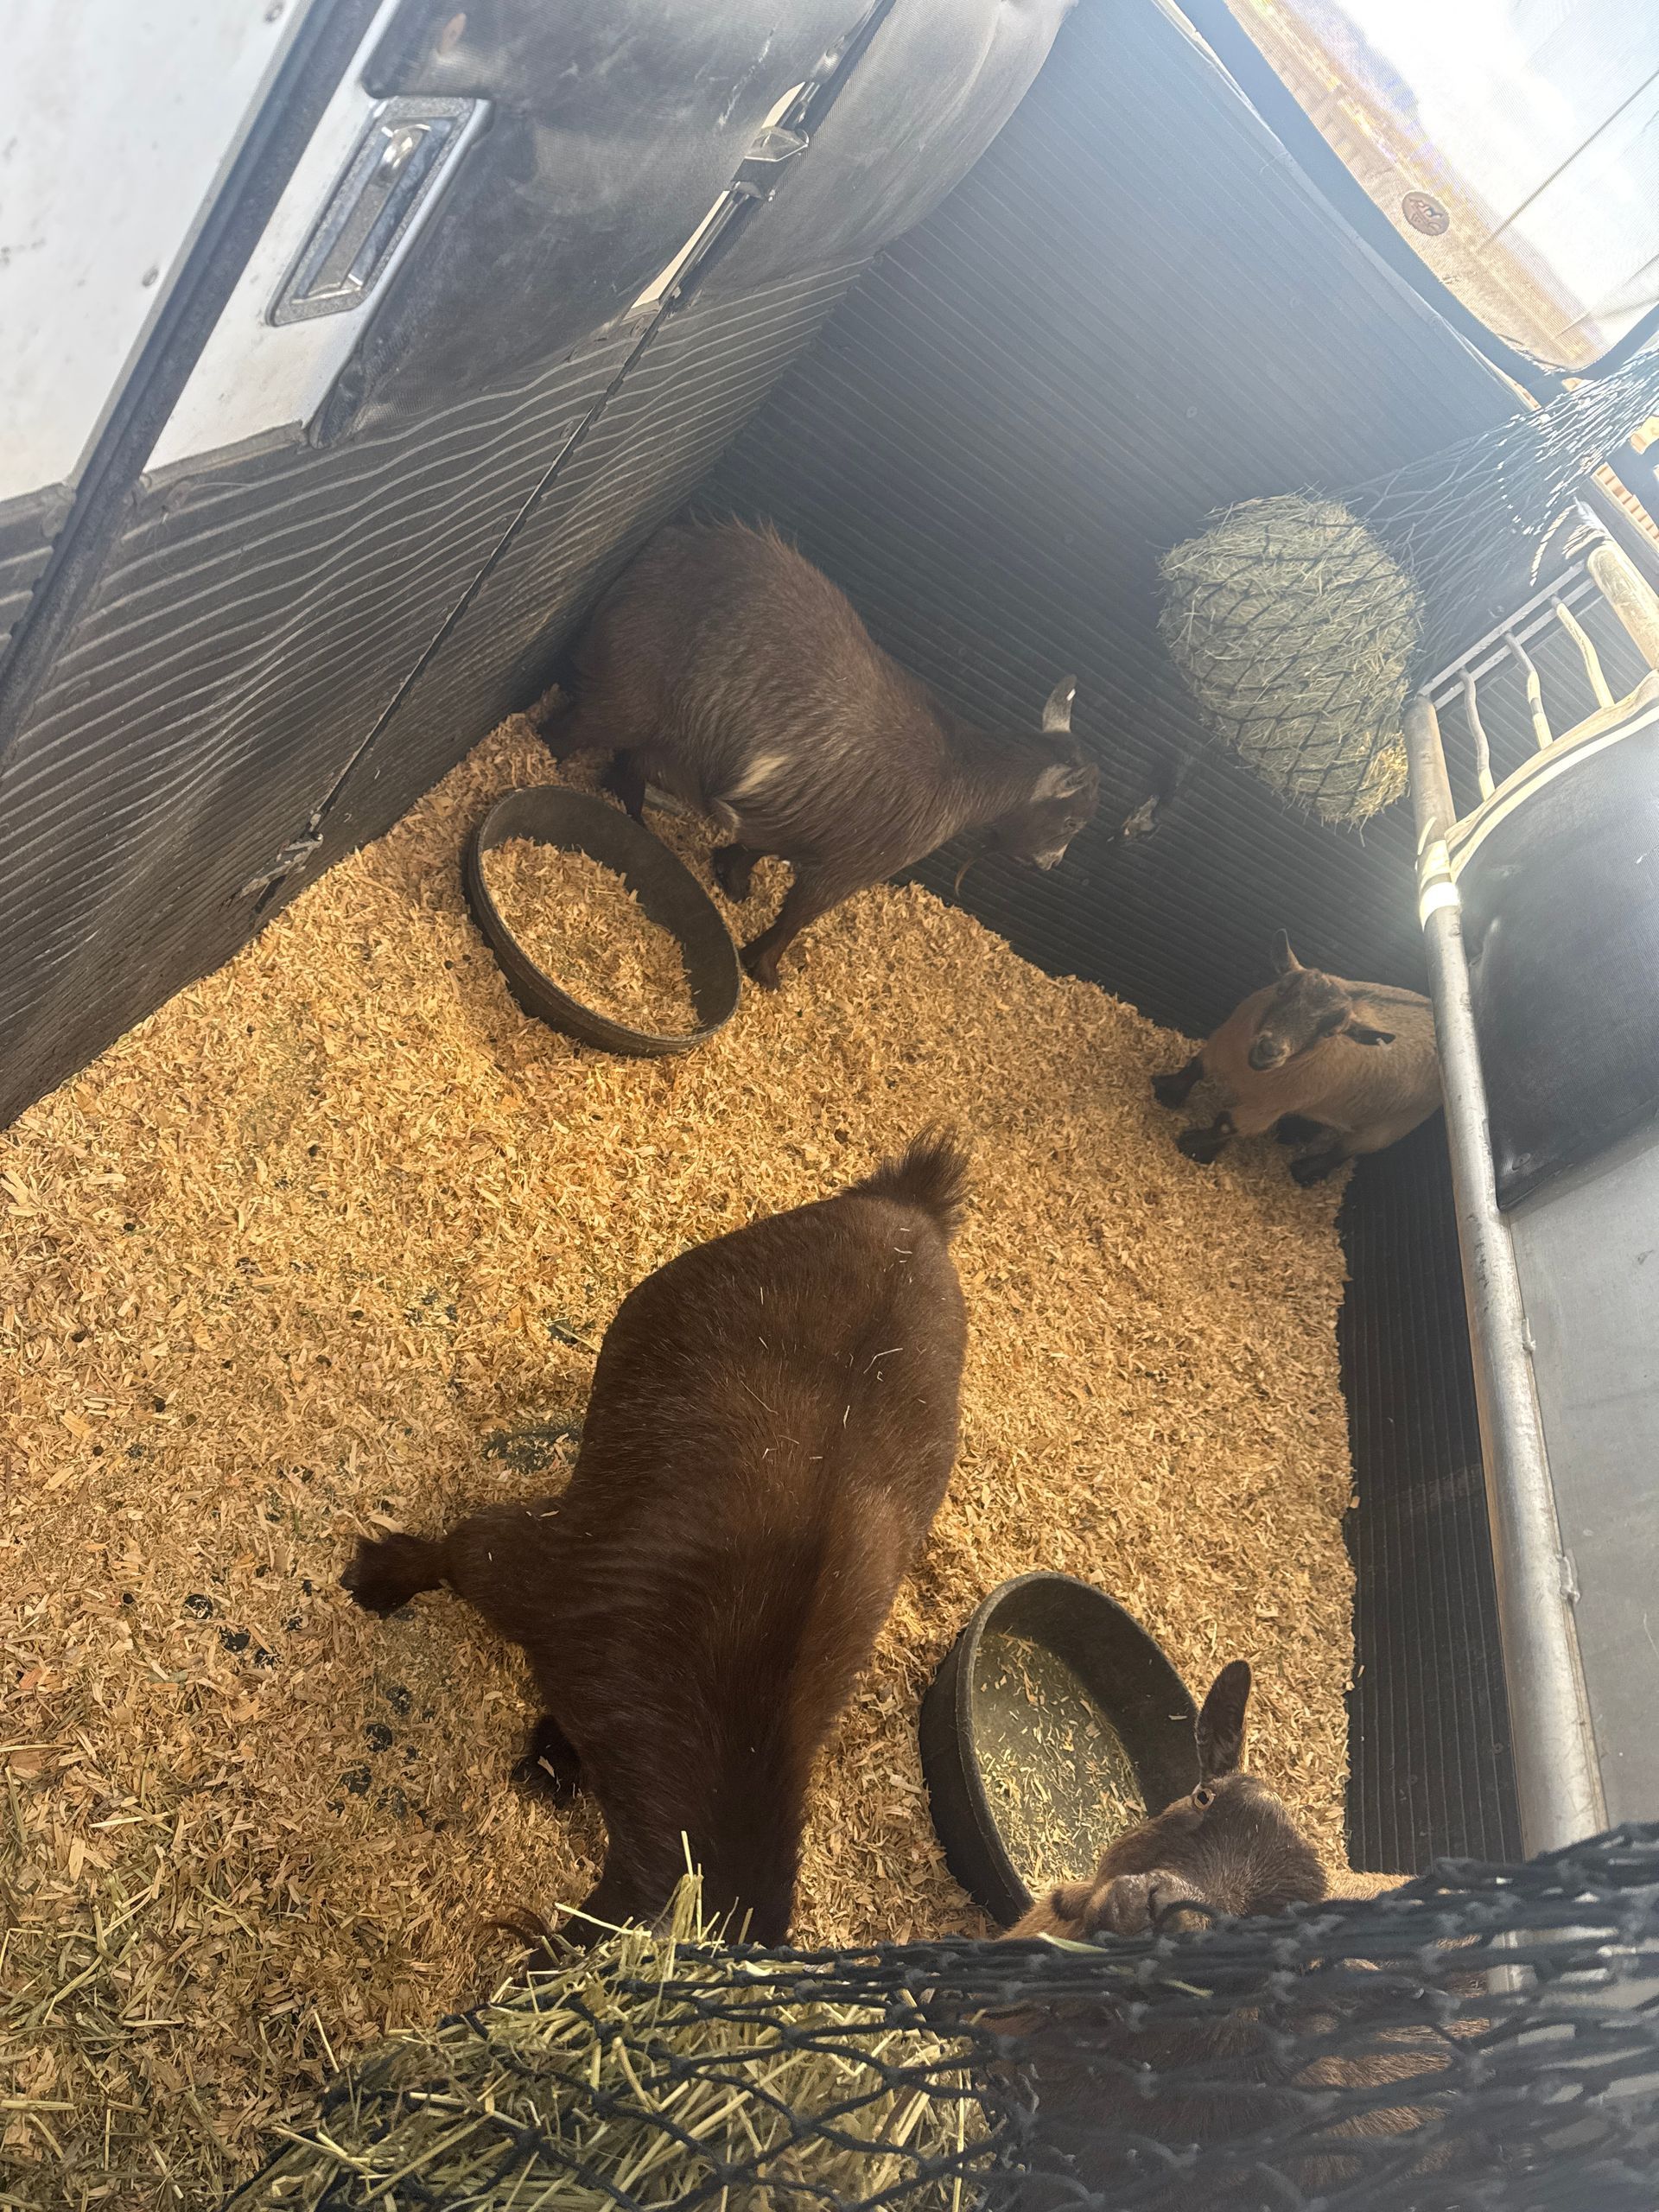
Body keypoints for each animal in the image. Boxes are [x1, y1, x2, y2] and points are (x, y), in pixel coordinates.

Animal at [536, 520, 1098, 988]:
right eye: (1073, 822)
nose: (1050, 864)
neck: (962, 772)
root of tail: (670, 548)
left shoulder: (802, 819)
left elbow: (759, 844)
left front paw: (732, 878)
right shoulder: (850, 865)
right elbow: (798, 916)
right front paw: (764, 969)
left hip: (663, 728)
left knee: (630, 763)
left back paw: (632, 817)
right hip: (626, 695)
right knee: (564, 731)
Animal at [1152, 933, 1440, 1181]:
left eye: (1330, 1032)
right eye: (1282, 989)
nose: (1270, 1050)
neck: (1247, 1072)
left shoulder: (1270, 1107)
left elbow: (1226, 1124)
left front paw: (1193, 1147)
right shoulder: (1221, 1045)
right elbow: (1196, 1067)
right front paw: (1168, 1092)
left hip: (1393, 1125)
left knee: (1346, 1151)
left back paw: (1306, 1171)